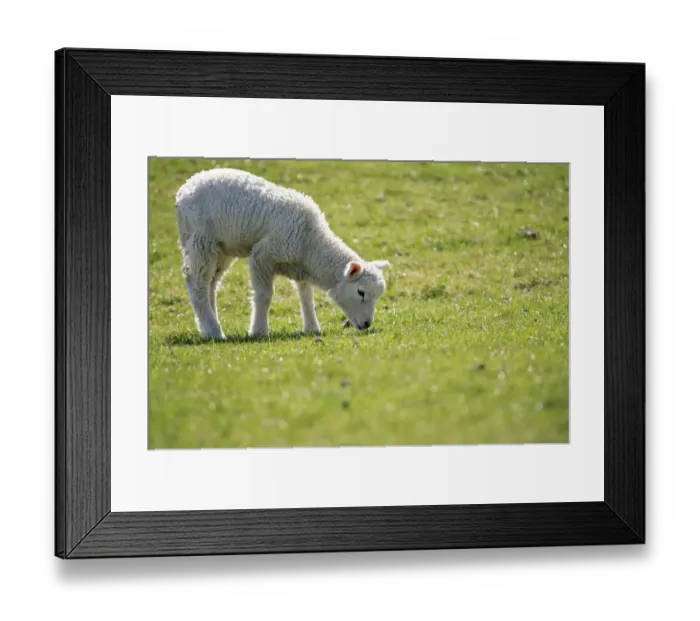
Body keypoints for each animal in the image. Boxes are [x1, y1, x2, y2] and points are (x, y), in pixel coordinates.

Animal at [175, 167, 390, 339]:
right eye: (361, 292)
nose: (367, 325)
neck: (311, 244)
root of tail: (186, 186)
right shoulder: (263, 255)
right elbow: (264, 295)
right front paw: (258, 331)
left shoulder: (300, 267)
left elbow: (306, 296)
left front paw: (312, 328)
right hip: (201, 240)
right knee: (198, 285)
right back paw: (214, 331)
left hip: (222, 247)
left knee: (211, 284)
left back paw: (207, 327)